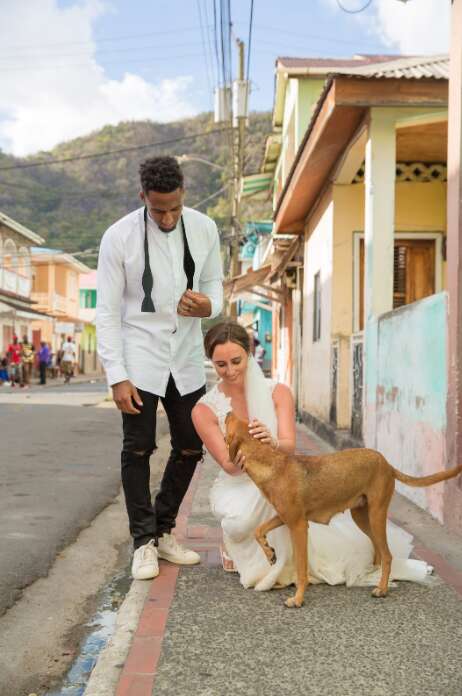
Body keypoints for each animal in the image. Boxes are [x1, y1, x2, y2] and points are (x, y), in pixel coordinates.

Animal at [225, 414, 462, 608]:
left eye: (231, 422)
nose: (228, 412)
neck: (271, 463)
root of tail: (387, 463)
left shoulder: (299, 526)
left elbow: (301, 569)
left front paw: (298, 599)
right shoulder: (284, 517)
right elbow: (258, 530)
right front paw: (270, 553)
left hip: (376, 514)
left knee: (387, 555)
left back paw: (382, 588)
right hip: (362, 516)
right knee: (378, 551)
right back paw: (371, 576)